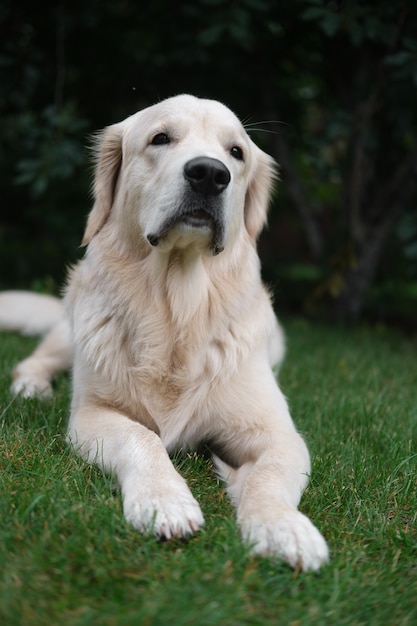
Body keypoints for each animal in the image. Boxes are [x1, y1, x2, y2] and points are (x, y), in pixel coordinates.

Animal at [0, 94, 328, 572]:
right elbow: (143, 438)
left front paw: (284, 527)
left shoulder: (279, 435)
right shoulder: (92, 414)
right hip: (74, 329)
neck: (177, 313)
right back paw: (32, 388)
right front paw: (164, 501)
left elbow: (267, 478)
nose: (209, 173)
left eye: (236, 152)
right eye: (160, 138)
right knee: (37, 359)